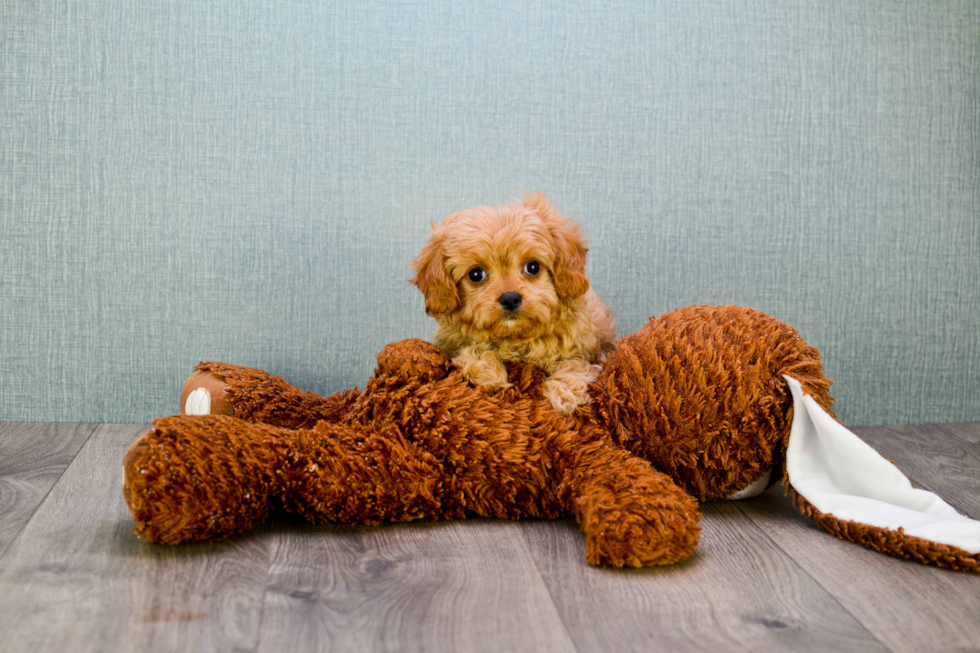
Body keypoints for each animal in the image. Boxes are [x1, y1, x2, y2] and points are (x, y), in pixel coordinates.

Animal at [412, 191, 612, 412]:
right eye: (476, 274)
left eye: (532, 267)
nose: (510, 298)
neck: (514, 338)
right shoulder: (452, 344)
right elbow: (473, 350)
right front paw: (489, 373)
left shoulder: (586, 353)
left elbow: (573, 366)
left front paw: (564, 394)